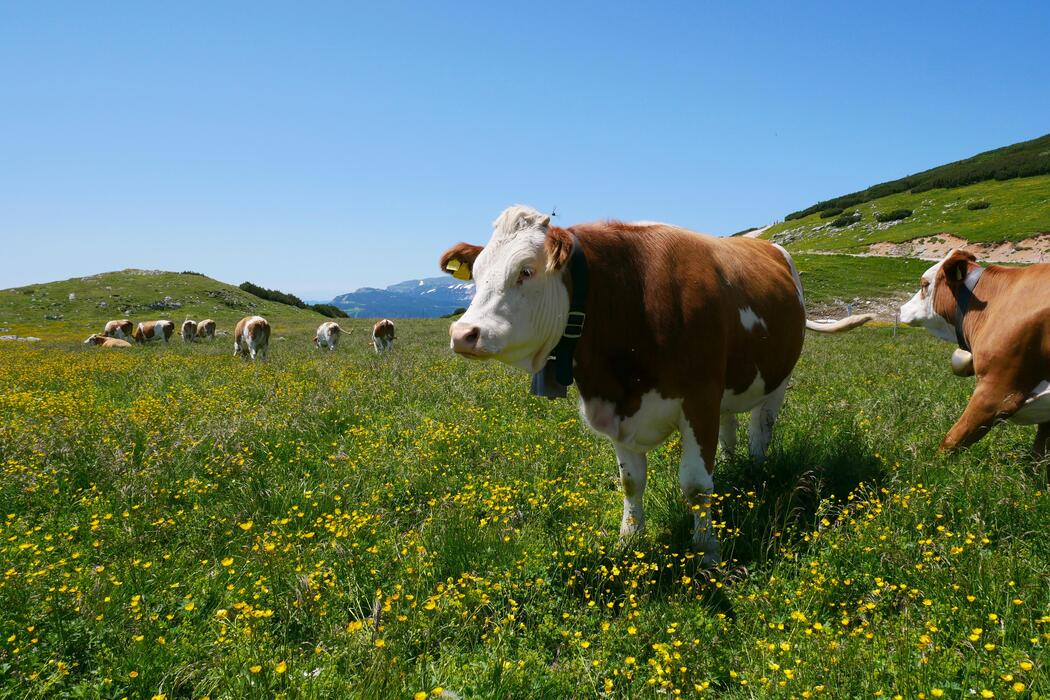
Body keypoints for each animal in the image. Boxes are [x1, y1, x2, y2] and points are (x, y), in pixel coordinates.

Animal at [439, 205, 872, 566]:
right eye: (476, 274)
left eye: (525, 271)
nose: (463, 333)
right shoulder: (617, 408)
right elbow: (631, 482)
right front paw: (629, 538)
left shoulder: (699, 398)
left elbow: (696, 486)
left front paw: (706, 550)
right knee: (730, 427)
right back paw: (732, 467)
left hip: (777, 380)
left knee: (760, 431)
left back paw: (755, 473)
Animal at [899, 249, 1050, 458]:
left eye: (925, 284)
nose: (901, 308)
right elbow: (1039, 450)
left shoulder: (995, 393)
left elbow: (951, 440)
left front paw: (928, 464)